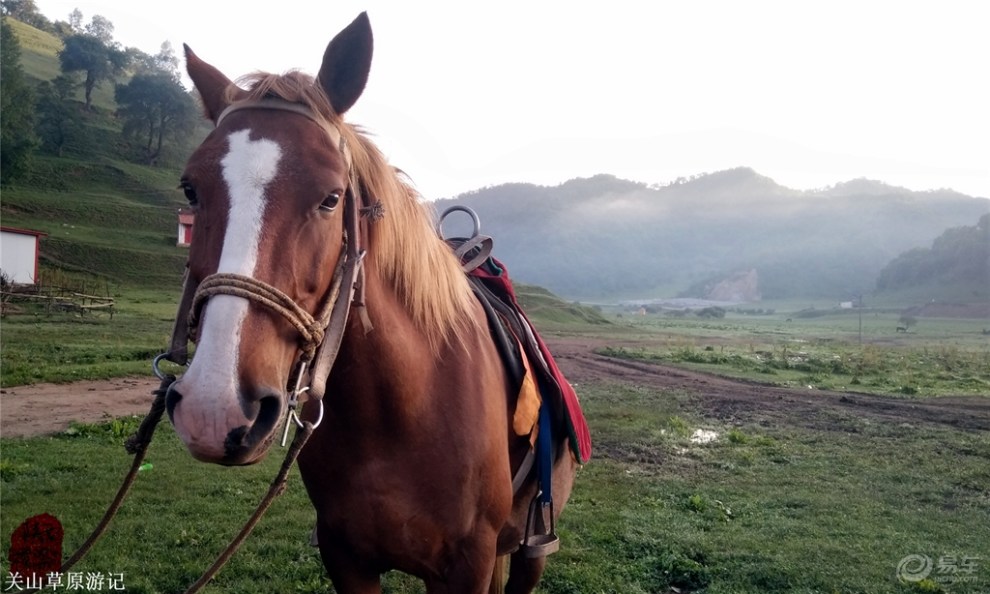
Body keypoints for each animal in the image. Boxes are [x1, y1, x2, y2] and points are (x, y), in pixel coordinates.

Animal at [164, 10, 580, 592]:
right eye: (191, 190)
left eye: (331, 197)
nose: (213, 408)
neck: (399, 412)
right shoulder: (347, 559)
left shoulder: (467, 566)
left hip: (532, 548)